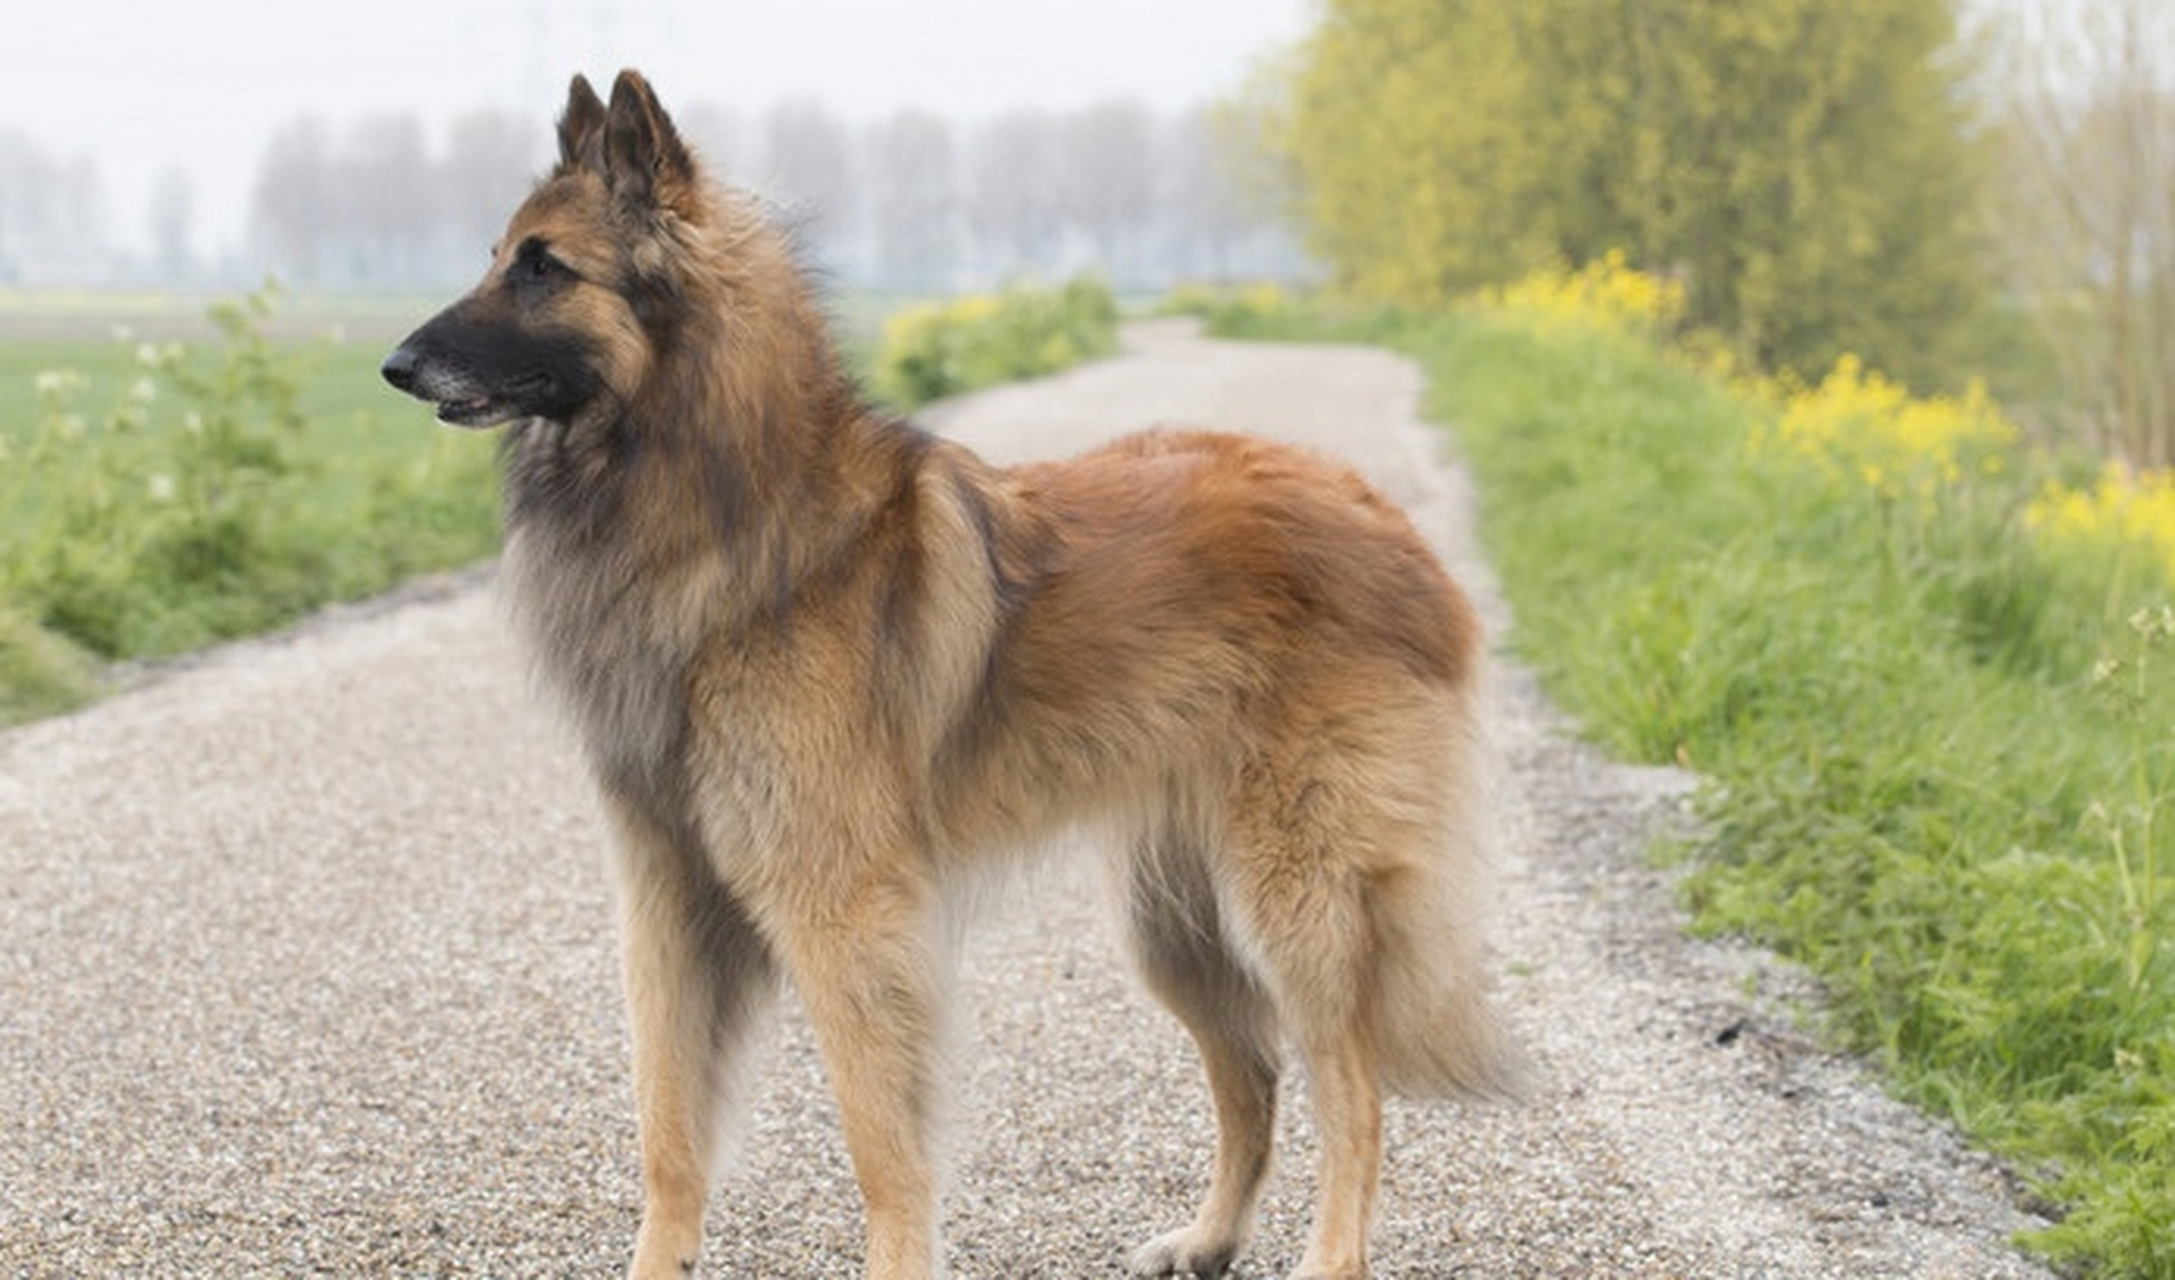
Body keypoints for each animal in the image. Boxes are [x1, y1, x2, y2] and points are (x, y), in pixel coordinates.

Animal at [382, 70, 1522, 1277]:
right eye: (499, 255)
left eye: (543, 266)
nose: (393, 368)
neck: (724, 509)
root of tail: (1388, 517)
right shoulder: (668, 893)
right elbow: (668, 1125)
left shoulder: (840, 906)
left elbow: (879, 1138)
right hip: (1178, 922)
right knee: (1251, 1074)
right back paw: (1208, 1238)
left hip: (1293, 899)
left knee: (1353, 1090)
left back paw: (1326, 1252)